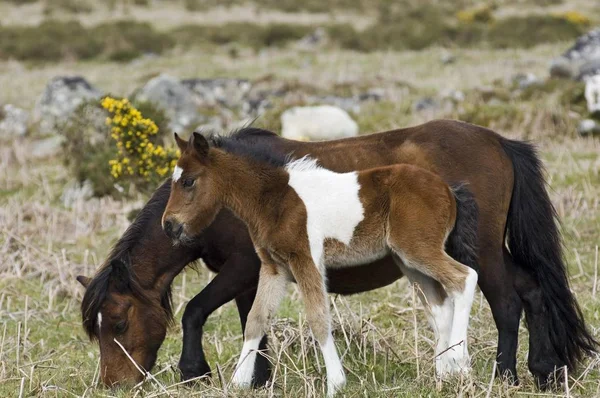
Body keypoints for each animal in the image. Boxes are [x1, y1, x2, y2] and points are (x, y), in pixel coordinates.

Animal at [162, 131, 480, 394]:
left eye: (188, 181)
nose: (169, 226)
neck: (276, 201)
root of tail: (449, 190)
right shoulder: (274, 268)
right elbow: (256, 319)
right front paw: (238, 383)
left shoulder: (306, 259)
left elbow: (317, 318)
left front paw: (336, 382)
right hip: (408, 261)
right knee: (440, 306)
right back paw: (443, 373)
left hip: (418, 249)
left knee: (465, 278)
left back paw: (459, 363)